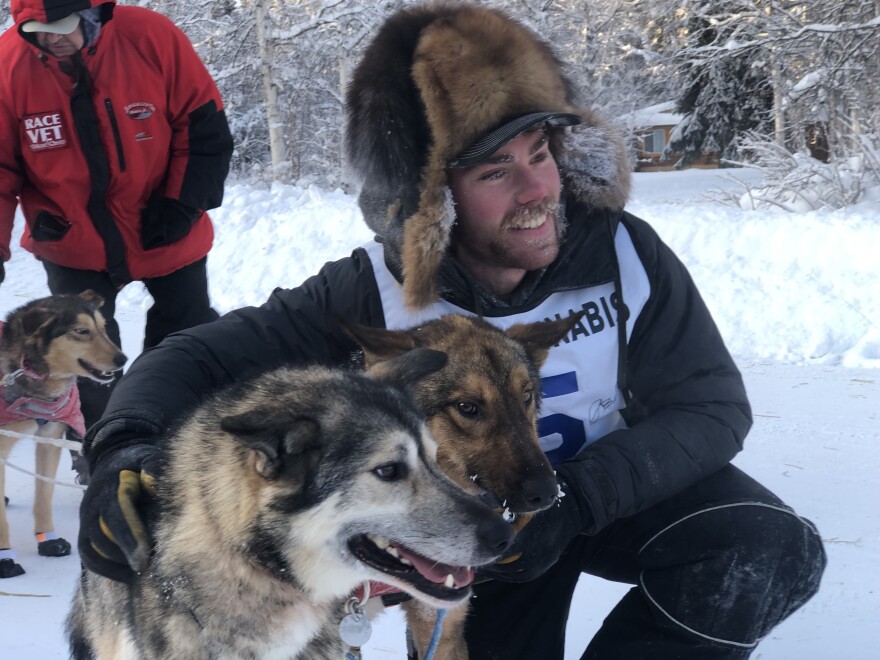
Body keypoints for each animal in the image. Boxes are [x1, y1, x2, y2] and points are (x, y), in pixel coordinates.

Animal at [0, 292, 127, 576]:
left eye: (103, 328)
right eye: (81, 331)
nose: (122, 359)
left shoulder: (51, 437)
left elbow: (44, 494)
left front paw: (48, 539)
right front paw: (4, 556)